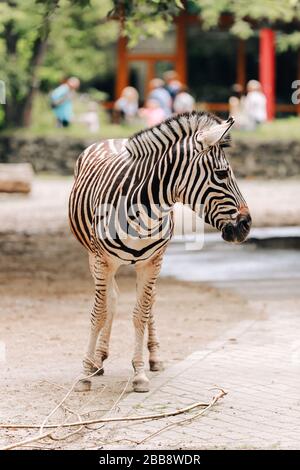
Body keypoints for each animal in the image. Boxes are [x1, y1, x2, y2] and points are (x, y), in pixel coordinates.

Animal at [69, 111, 252, 392]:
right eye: (222, 174)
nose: (246, 225)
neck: (143, 208)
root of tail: (116, 139)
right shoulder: (101, 260)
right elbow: (99, 313)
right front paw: (84, 374)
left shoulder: (152, 262)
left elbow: (140, 314)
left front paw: (139, 373)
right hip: (95, 257)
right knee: (111, 298)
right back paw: (98, 359)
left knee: (149, 302)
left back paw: (153, 357)